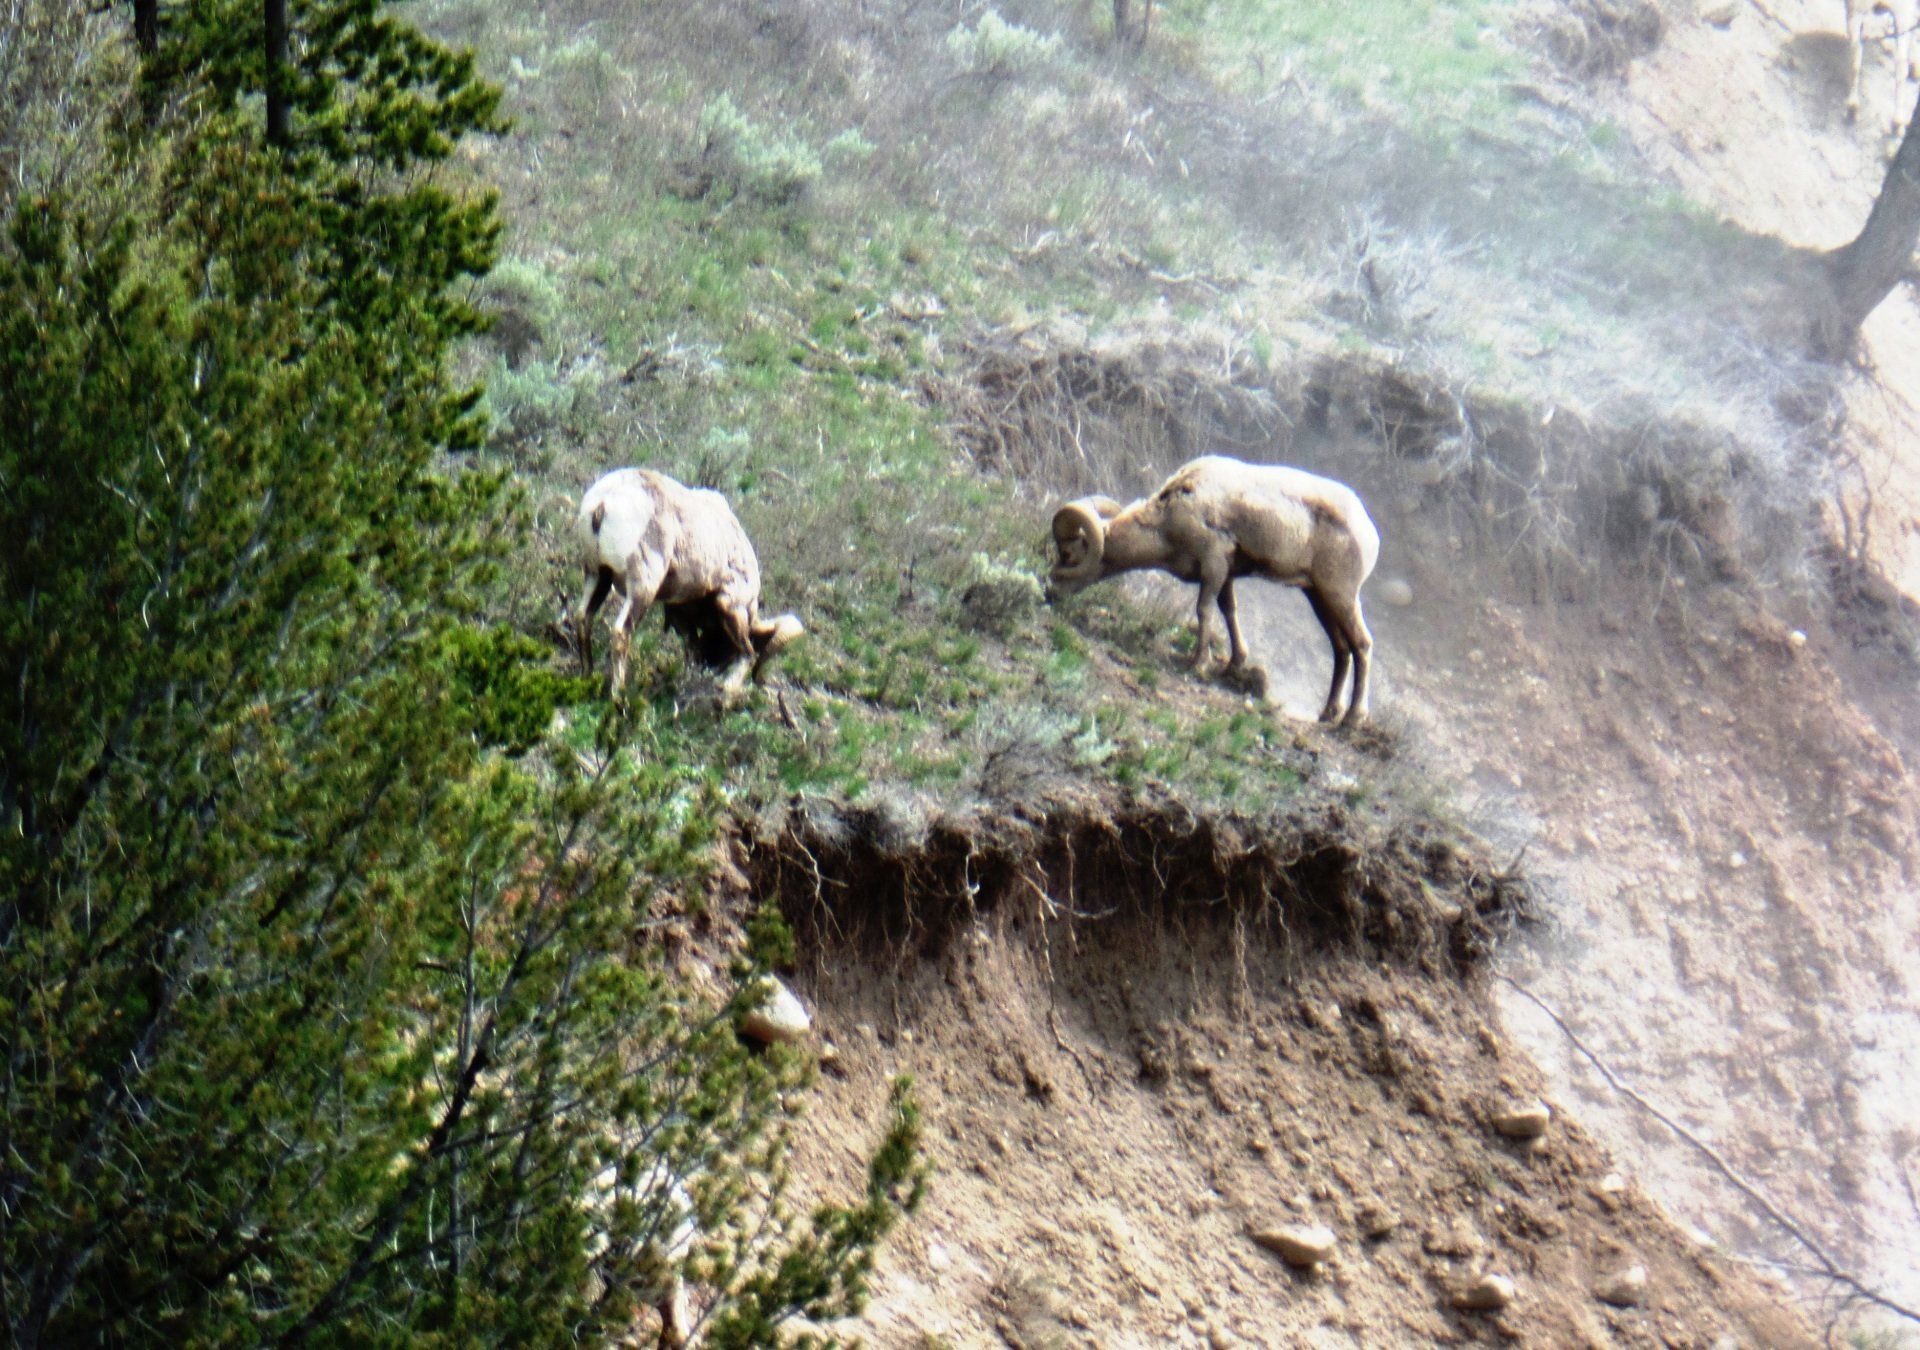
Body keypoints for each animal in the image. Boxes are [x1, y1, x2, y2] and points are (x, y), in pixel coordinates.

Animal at [573, 468, 803, 697]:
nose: (710, 663)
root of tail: (603, 502)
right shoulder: (732, 604)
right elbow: (747, 652)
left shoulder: (680, 612)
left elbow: (690, 648)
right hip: (642, 587)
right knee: (621, 631)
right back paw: (620, 698)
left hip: (597, 575)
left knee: (583, 618)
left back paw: (586, 679)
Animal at [1046, 455, 1381, 726]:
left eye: (1068, 555)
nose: (1051, 592)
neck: (1170, 517)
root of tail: (1368, 531)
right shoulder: (1225, 575)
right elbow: (1228, 610)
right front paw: (1234, 663)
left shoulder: (1213, 566)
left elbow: (1204, 610)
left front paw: (1199, 664)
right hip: (1318, 597)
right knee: (1342, 650)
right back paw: (1328, 713)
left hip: (1340, 595)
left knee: (1362, 644)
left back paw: (1353, 719)